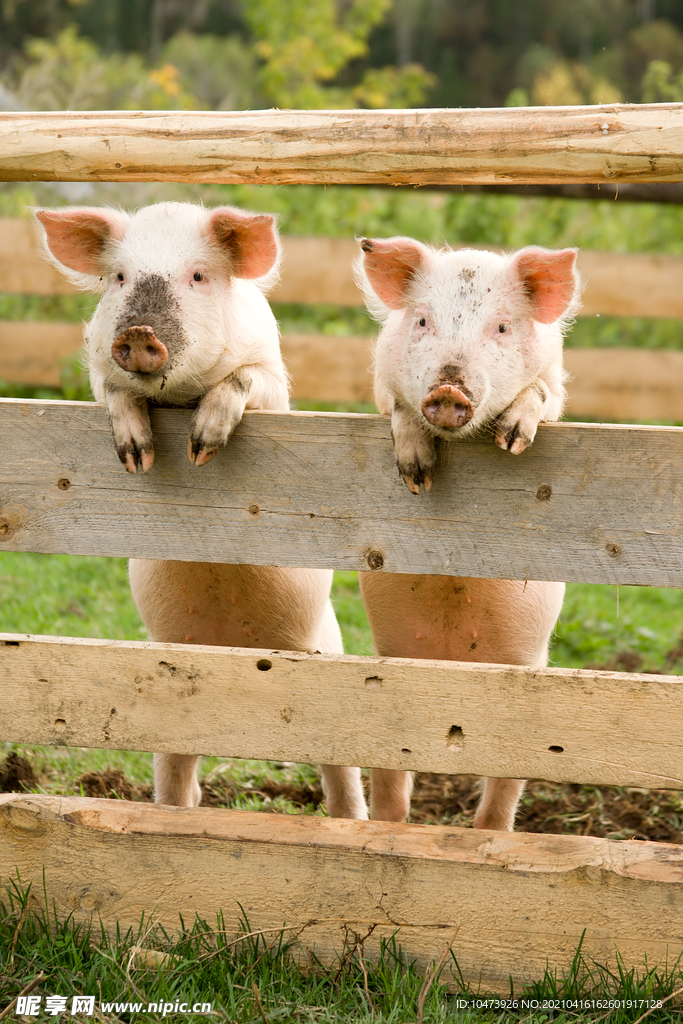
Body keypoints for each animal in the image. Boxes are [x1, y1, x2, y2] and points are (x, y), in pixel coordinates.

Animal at [34, 203, 368, 819]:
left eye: (197, 276)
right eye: (120, 277)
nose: (138, 333)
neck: (179, 399)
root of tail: (236, 650)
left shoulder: (274, 381)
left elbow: (246, 381)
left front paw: (201, 446)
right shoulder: (98, 375)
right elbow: (114, 393)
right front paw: (137, 457)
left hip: (325, 652)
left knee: (342, 779)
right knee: (180, 783)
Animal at [356, 235, 581, 827]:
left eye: (501, 327)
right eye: (423, 321)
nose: (449, 390)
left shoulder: (556, 386)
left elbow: (540, 397)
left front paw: (512, 440)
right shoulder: (383, 388)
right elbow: (398, 409)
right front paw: (417, 476)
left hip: (525, 667)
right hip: (393, 663)